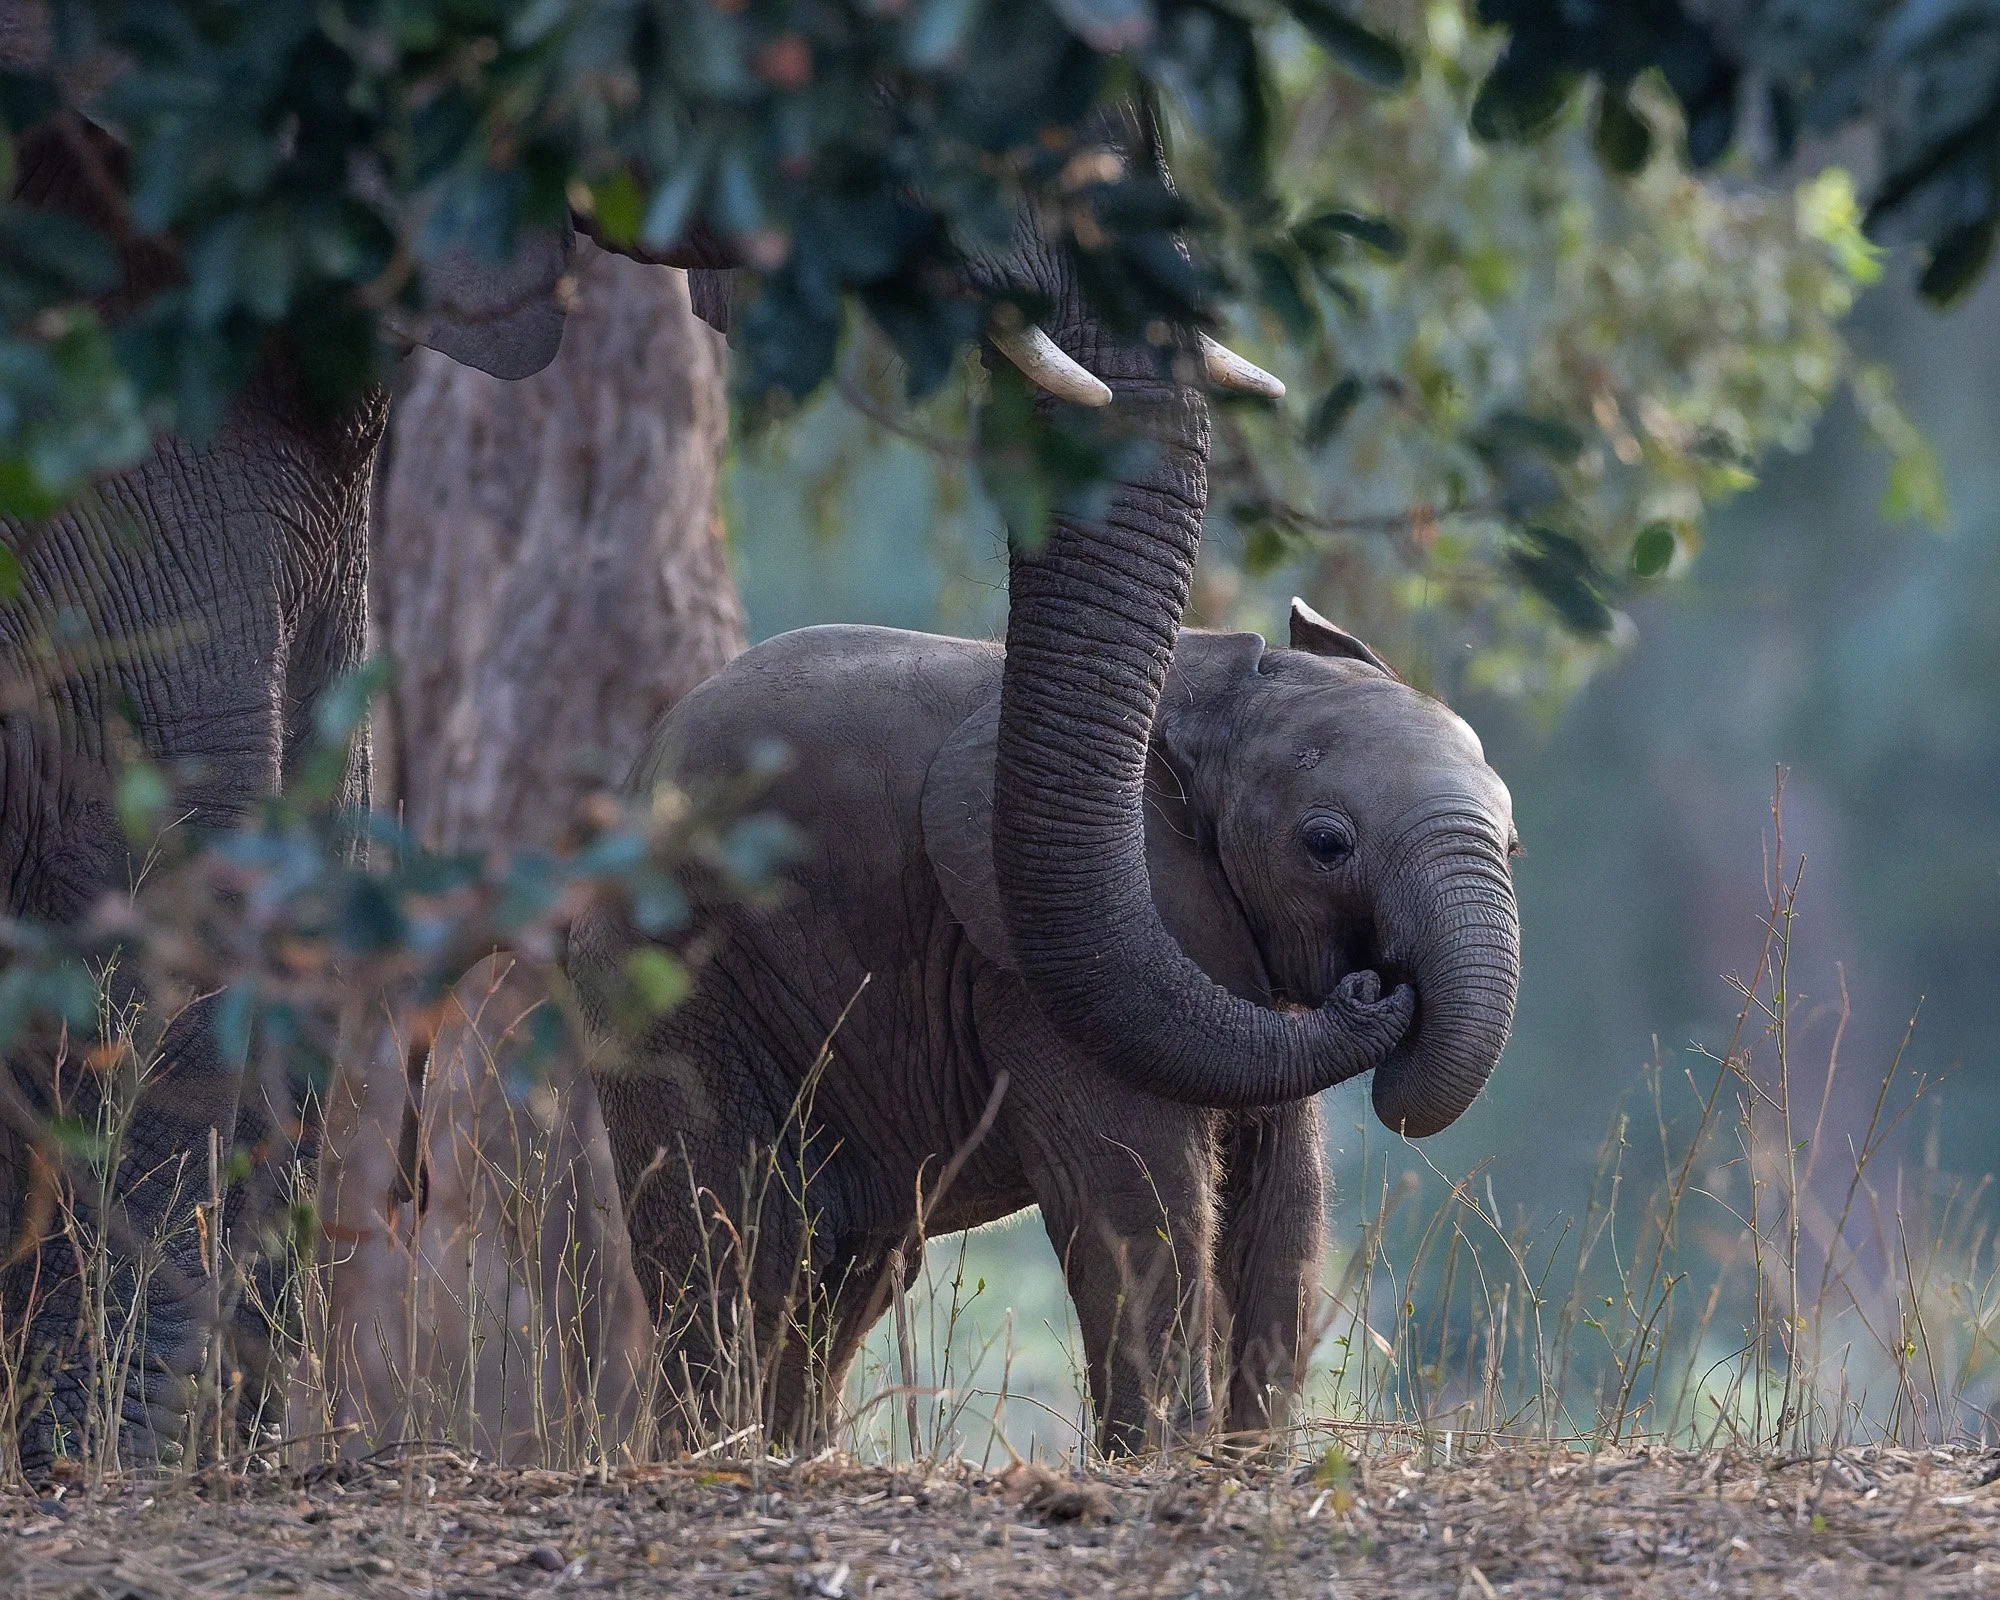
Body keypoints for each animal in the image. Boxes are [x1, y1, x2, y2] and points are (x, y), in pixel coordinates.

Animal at [570, 599, 1521, 1453]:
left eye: (1512, 846)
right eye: (1327, 844)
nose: (1375, 989)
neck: (1207, 694)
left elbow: (1284, 1192)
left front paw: (1253, 1461)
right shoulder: (1017, 958)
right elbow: (1135, 1180)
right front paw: (1167, 1462)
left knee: (849, 1267)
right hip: (671, 984)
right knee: (742, 1244)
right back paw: (714, 1458)